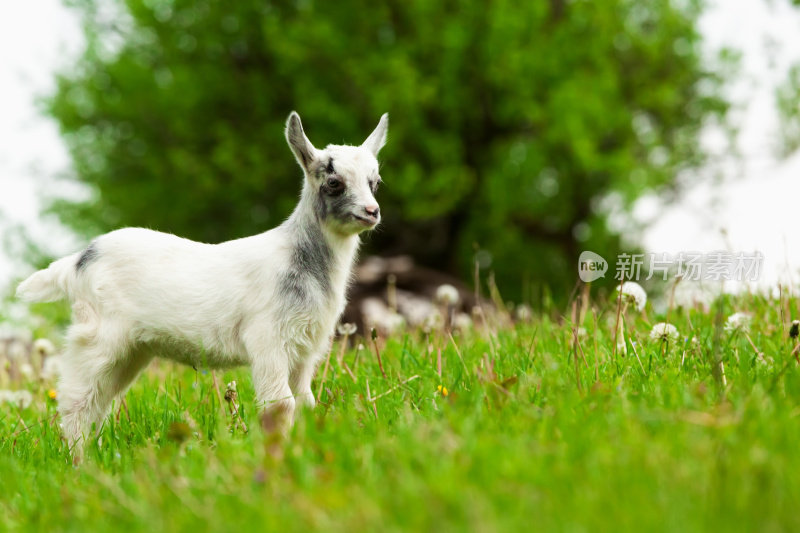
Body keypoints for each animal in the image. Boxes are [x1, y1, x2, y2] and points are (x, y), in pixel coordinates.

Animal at [18, 111, 388, 448]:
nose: (372, 212)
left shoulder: (304, 349)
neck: (301, 260)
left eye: (375, 182)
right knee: (76, 400)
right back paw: (78, 461)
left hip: (131, 350)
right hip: (97, 337)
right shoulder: (267, 340)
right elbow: (279, 406)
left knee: (98, 401)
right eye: (334, 182)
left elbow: (305, 403)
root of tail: (77, 262)